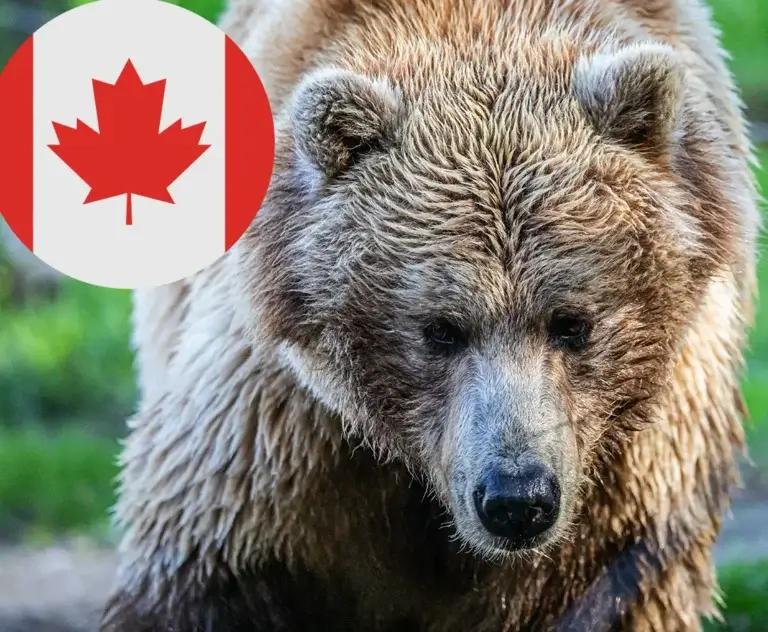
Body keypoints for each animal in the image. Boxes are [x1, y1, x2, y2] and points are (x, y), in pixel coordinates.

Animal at [100, 0, 761, 630]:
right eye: (440, 329)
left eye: (572, 322)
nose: (515, 499)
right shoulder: (285, 426)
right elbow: (205, 566)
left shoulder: (639, 472)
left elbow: (614, 594)